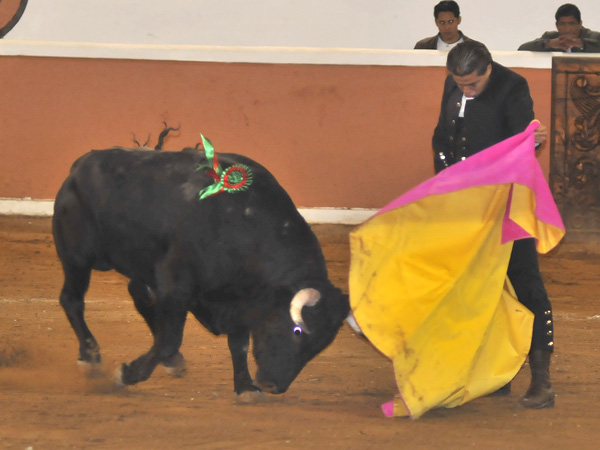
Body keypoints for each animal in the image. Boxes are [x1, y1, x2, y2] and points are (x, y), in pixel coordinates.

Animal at [52, 139, 350, 396]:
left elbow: (239, 343)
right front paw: (127, 374)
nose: (274, 386)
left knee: (137, 294)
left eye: (320, 346)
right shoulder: (175, 284)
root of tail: (79, 166)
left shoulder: (239, 298)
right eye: (296, 332)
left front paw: (245, 386)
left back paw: (172, 361)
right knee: (72, 300)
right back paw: (90, 357)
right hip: (77, 257)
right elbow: (170, 339)